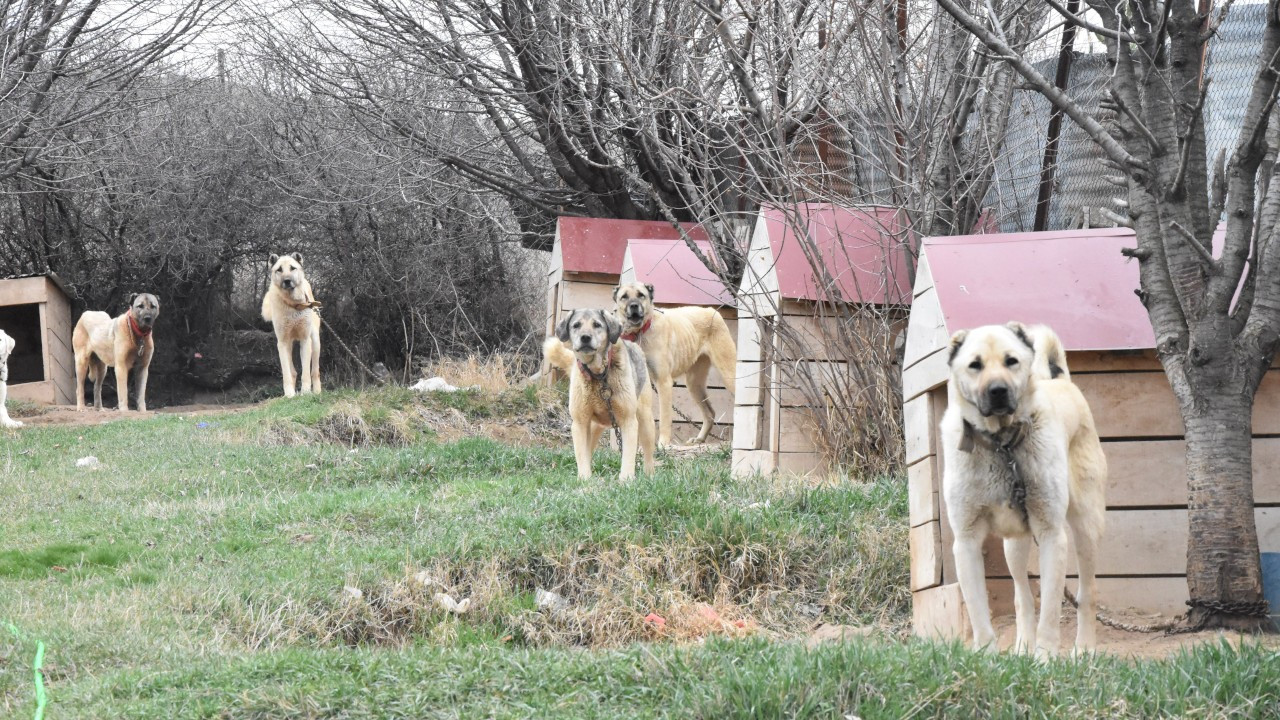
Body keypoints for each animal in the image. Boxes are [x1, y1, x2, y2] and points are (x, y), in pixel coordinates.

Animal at [261, 251, 322, 397]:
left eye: (292, 268)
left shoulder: (305, 340)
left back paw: (317, 392)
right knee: (293, 372)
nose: (287, 281)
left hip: (315, 342)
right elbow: (287, 373)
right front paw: (289, 394)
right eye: (279, 270)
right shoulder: (282, 343)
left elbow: (306, 373)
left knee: (315, 371)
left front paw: (305, 392)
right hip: (288, 345)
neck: (293, 305)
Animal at [542, 307, 655, 479]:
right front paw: (585, 480)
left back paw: (650, 476)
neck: (598, 375)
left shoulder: (629, 420)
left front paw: (626, 480)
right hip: (594, 427)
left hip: (645, 418)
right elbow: (582, 456)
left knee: (648, 453)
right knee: (588, 449)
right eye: (576, 325)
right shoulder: (580, 423)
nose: (585, 338)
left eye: (597, 325)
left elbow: (628, 456)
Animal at [611, 280, 737, 443]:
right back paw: (699, 439)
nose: (634, 306)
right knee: (710, 413)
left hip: (729, 374)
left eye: (641, 295)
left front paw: (663, 443)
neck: (639, 332)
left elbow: (664, 418)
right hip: (693, 384)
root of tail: (711, 311)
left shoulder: (664, 382)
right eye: (624, 297)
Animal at [936, 320, 1105, 655]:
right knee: (1022, 597)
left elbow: (1050, 613)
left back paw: (1084, 650)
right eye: (975, 365)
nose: (998, 391)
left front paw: (1045, 659)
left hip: (1086, 529)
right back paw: (1022, 650)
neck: (1001, 446)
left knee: (1087, 593)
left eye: (1011, 361)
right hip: (1014, 546)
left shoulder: (1052, 535)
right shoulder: (966, 541)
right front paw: (986, 658)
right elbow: (979, 612)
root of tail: (1061, 382)